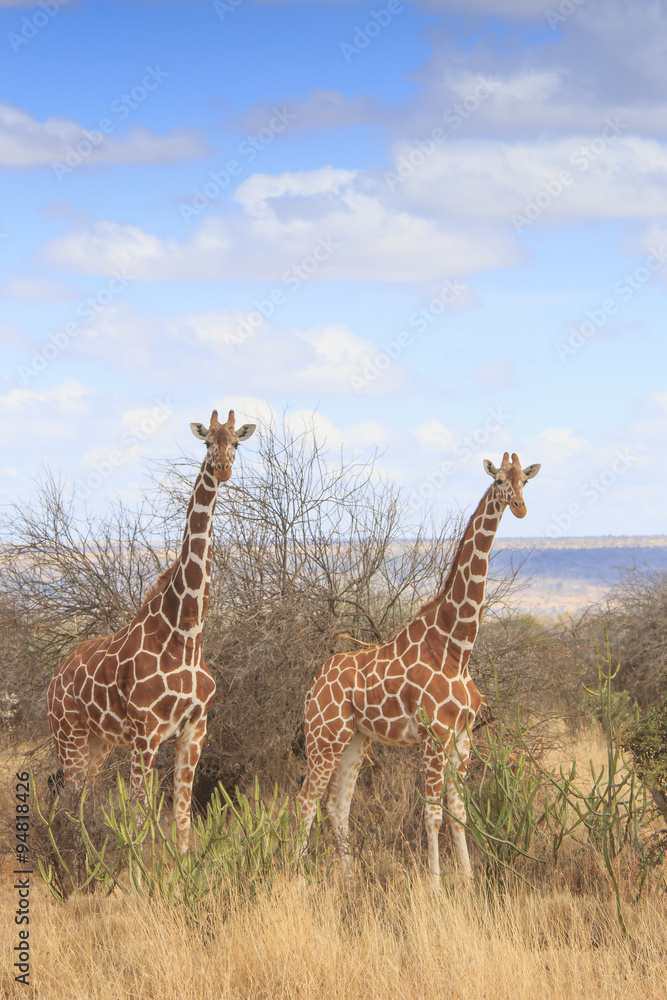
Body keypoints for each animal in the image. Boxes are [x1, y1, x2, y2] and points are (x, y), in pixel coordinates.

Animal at [46, 409, 255, 854]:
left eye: (236, 442)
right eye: (207, 442)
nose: (223, 469)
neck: (187, 632)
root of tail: (54, 679)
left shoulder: (195, 730)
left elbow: (182, 818)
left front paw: (182, 866)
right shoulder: (146, 734)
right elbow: (141, 818)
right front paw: (139, 870)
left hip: (99, 743)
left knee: (82, 798)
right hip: (68, 736)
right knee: (68, 802)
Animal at [298, 452, 540, 886]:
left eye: (525, 481)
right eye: (498, 480)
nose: (519, 507)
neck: (456, 647)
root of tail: (313, 684)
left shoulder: (462, 738)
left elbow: (459, 814)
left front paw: (469, 884)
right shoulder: (433, 735)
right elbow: (432, 815)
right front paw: (435, 887)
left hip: (356, 740)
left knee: (337, 805)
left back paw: (350, 882)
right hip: (323, 736)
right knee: (307, 801)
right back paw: (293, 877)